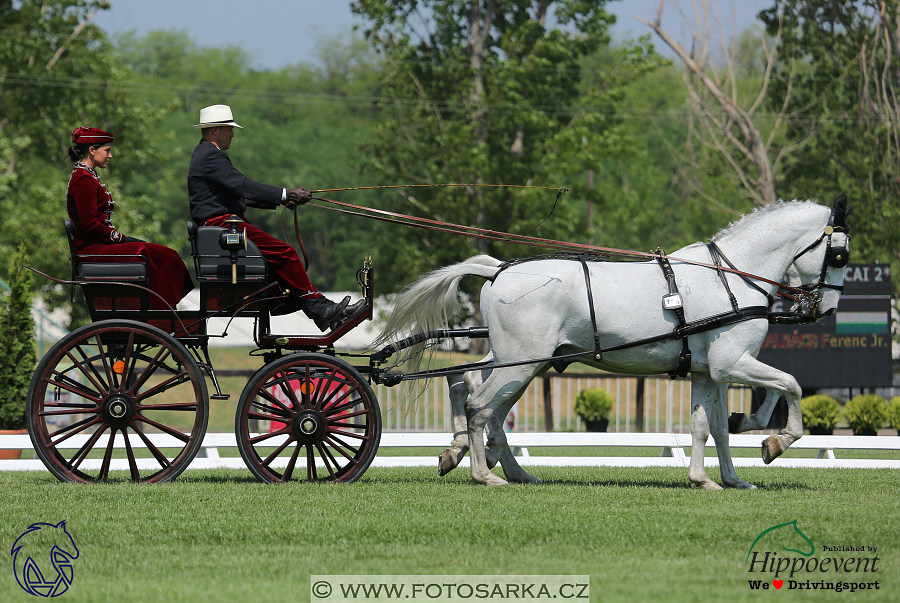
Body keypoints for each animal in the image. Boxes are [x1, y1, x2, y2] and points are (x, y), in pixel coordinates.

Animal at [378, 201, 852, 488]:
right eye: (840, 255)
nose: (826, 307)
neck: (730, 278)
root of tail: (498, 270)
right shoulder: (732, 362)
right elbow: (789, 384)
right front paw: (775, 442)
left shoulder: (710, 372)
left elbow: (711, 426)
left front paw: (719, 477)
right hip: (521, 362)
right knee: (479, 403)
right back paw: (484, 473)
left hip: (522, 362)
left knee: (476, 393)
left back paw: (496, 464)